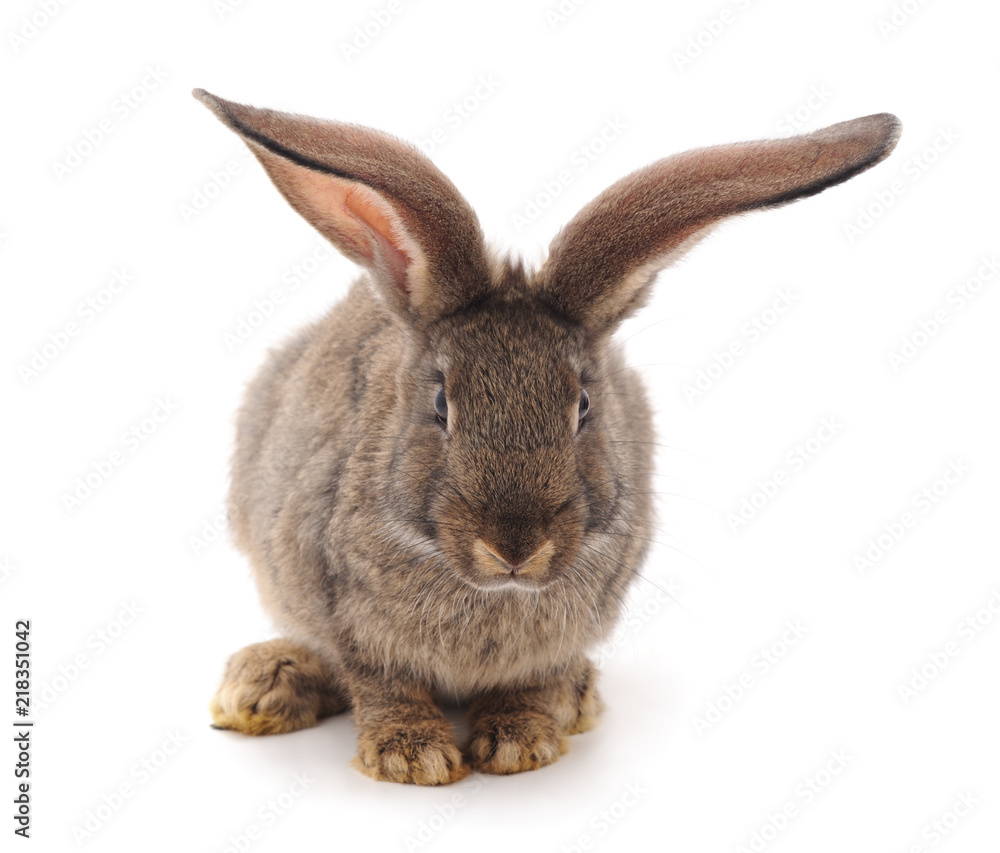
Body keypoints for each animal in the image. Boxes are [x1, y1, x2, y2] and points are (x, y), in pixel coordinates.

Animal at [194, 88, 900, 785]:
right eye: (441, 404)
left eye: (583, 405)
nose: (515, 547)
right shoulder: (344, 612)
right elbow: (384, 684)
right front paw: (412, 757)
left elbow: (530, 684)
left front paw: (519, 744)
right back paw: (263, 685)